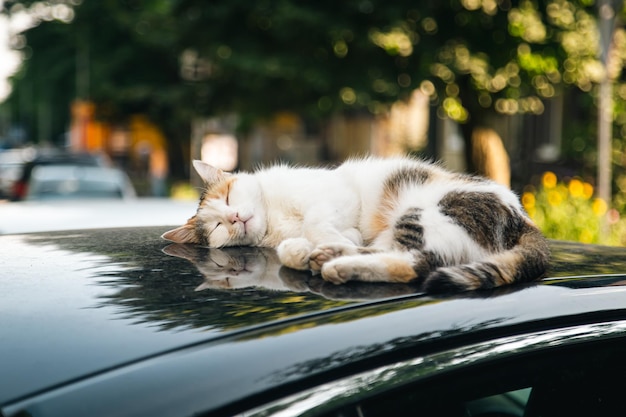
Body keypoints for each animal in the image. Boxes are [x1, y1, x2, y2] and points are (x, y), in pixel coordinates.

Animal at [163, 156, 548, 292]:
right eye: (217, 227)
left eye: (228, 198)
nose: (234, 218)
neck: (274, 219)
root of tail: (524, 219)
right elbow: (333, 231)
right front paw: (319, 243)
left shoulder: (338, 194)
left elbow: (317, 219)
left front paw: (324, 239)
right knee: (398, 256)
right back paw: (319, 256)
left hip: (425, 212)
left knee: (414, 263)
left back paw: (335, 263)